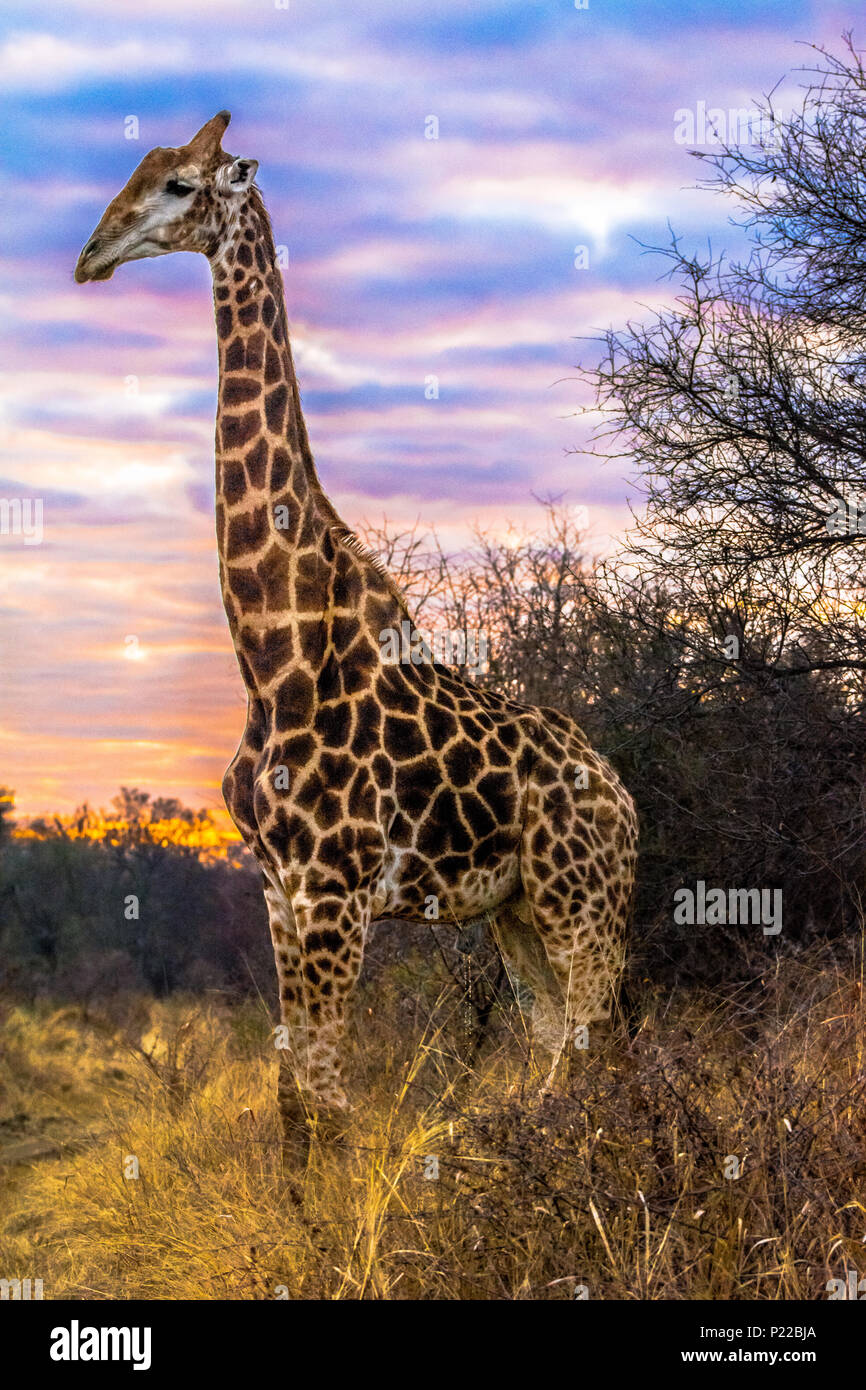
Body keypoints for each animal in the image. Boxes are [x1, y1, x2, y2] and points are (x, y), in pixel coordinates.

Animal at [74, 111, 639, 1150]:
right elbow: (297, 1100)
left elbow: (329, 1103)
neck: (273, 653)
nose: (92, 255)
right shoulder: (277, 888)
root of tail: (626, 799)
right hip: (517, 913)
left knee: (589, 1048)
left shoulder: (333, 889)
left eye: (180, 185)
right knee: (561, 1047)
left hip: (584, 900)